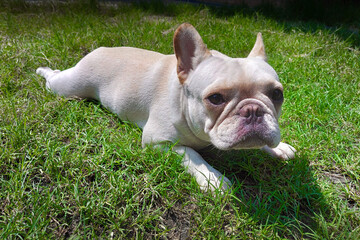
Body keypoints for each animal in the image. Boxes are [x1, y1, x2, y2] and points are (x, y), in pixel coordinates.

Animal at [37, 22, 296, 191]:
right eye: (215, 99)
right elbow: (191, 154)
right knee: (54, 79)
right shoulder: (159, 142)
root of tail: (101, 49)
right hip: (69, 87)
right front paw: (213, 178)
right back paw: (44, 70)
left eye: (277, 94)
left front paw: (279, 147)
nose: (253, 110)